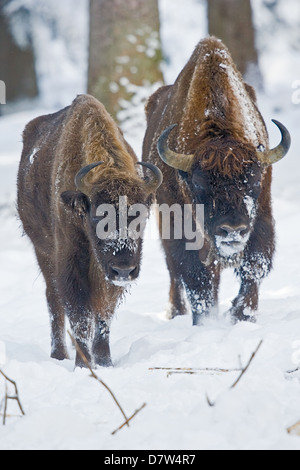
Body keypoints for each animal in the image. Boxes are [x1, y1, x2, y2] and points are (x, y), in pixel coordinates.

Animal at [17, 94, 163, 368]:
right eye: (97, 215)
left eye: (140, 215)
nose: (124, 269)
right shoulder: (70, 259)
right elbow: (80, 313)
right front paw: (83, 365)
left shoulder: (106, 273)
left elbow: (103, 311)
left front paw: (105, 362)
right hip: (43, 251)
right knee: (54, 300)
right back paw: (59, 355)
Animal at [143, 36, 290, 324]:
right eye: (199, 183)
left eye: (254, 180)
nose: (232, 230)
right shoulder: (178, 226)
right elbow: (196, 278)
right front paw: (205, 321)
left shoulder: (261, 214)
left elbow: (254, 265)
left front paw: (242, 315)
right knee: (176, 273)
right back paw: (175, 312)